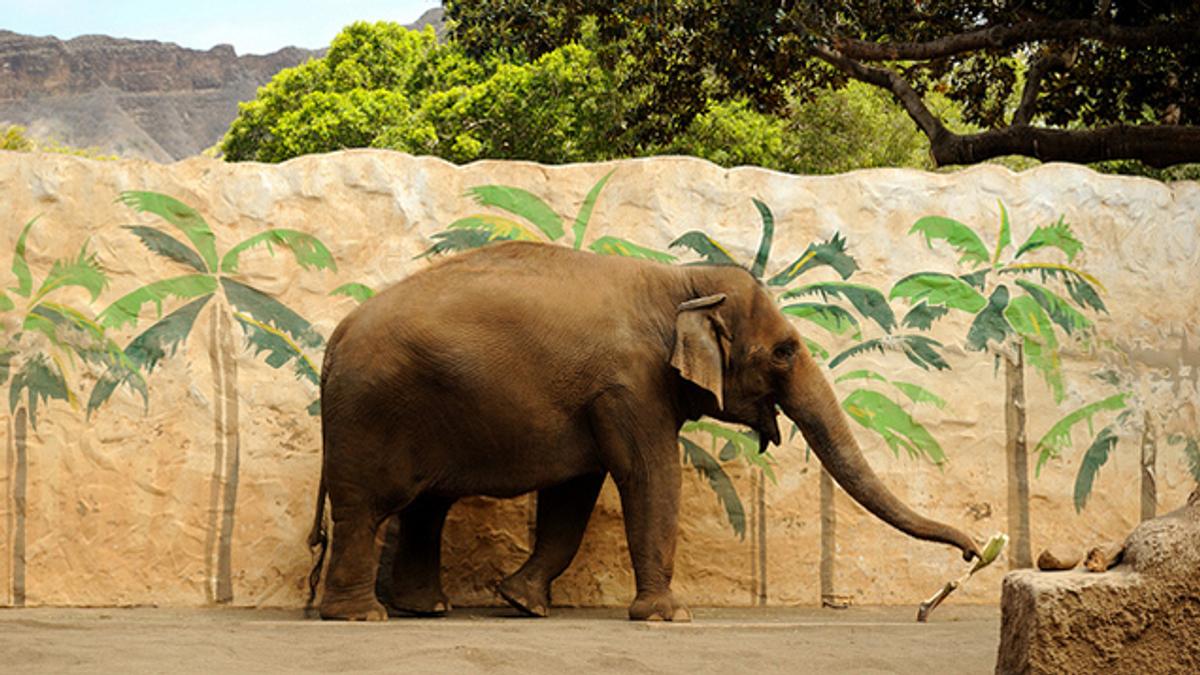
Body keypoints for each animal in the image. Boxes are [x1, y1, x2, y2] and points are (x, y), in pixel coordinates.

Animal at [306, 241, 980, 622]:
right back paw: (361, 618)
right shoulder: (631, 385)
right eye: (785, 352)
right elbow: (650, 477)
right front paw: (669, 618)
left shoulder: (598, 397)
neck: (680, 282)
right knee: (367, 509)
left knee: (426, 508)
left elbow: (574, 495)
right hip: (369, 415)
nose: (975, 553)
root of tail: (333, 342)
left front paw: (522, 603)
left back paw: (425, 609)